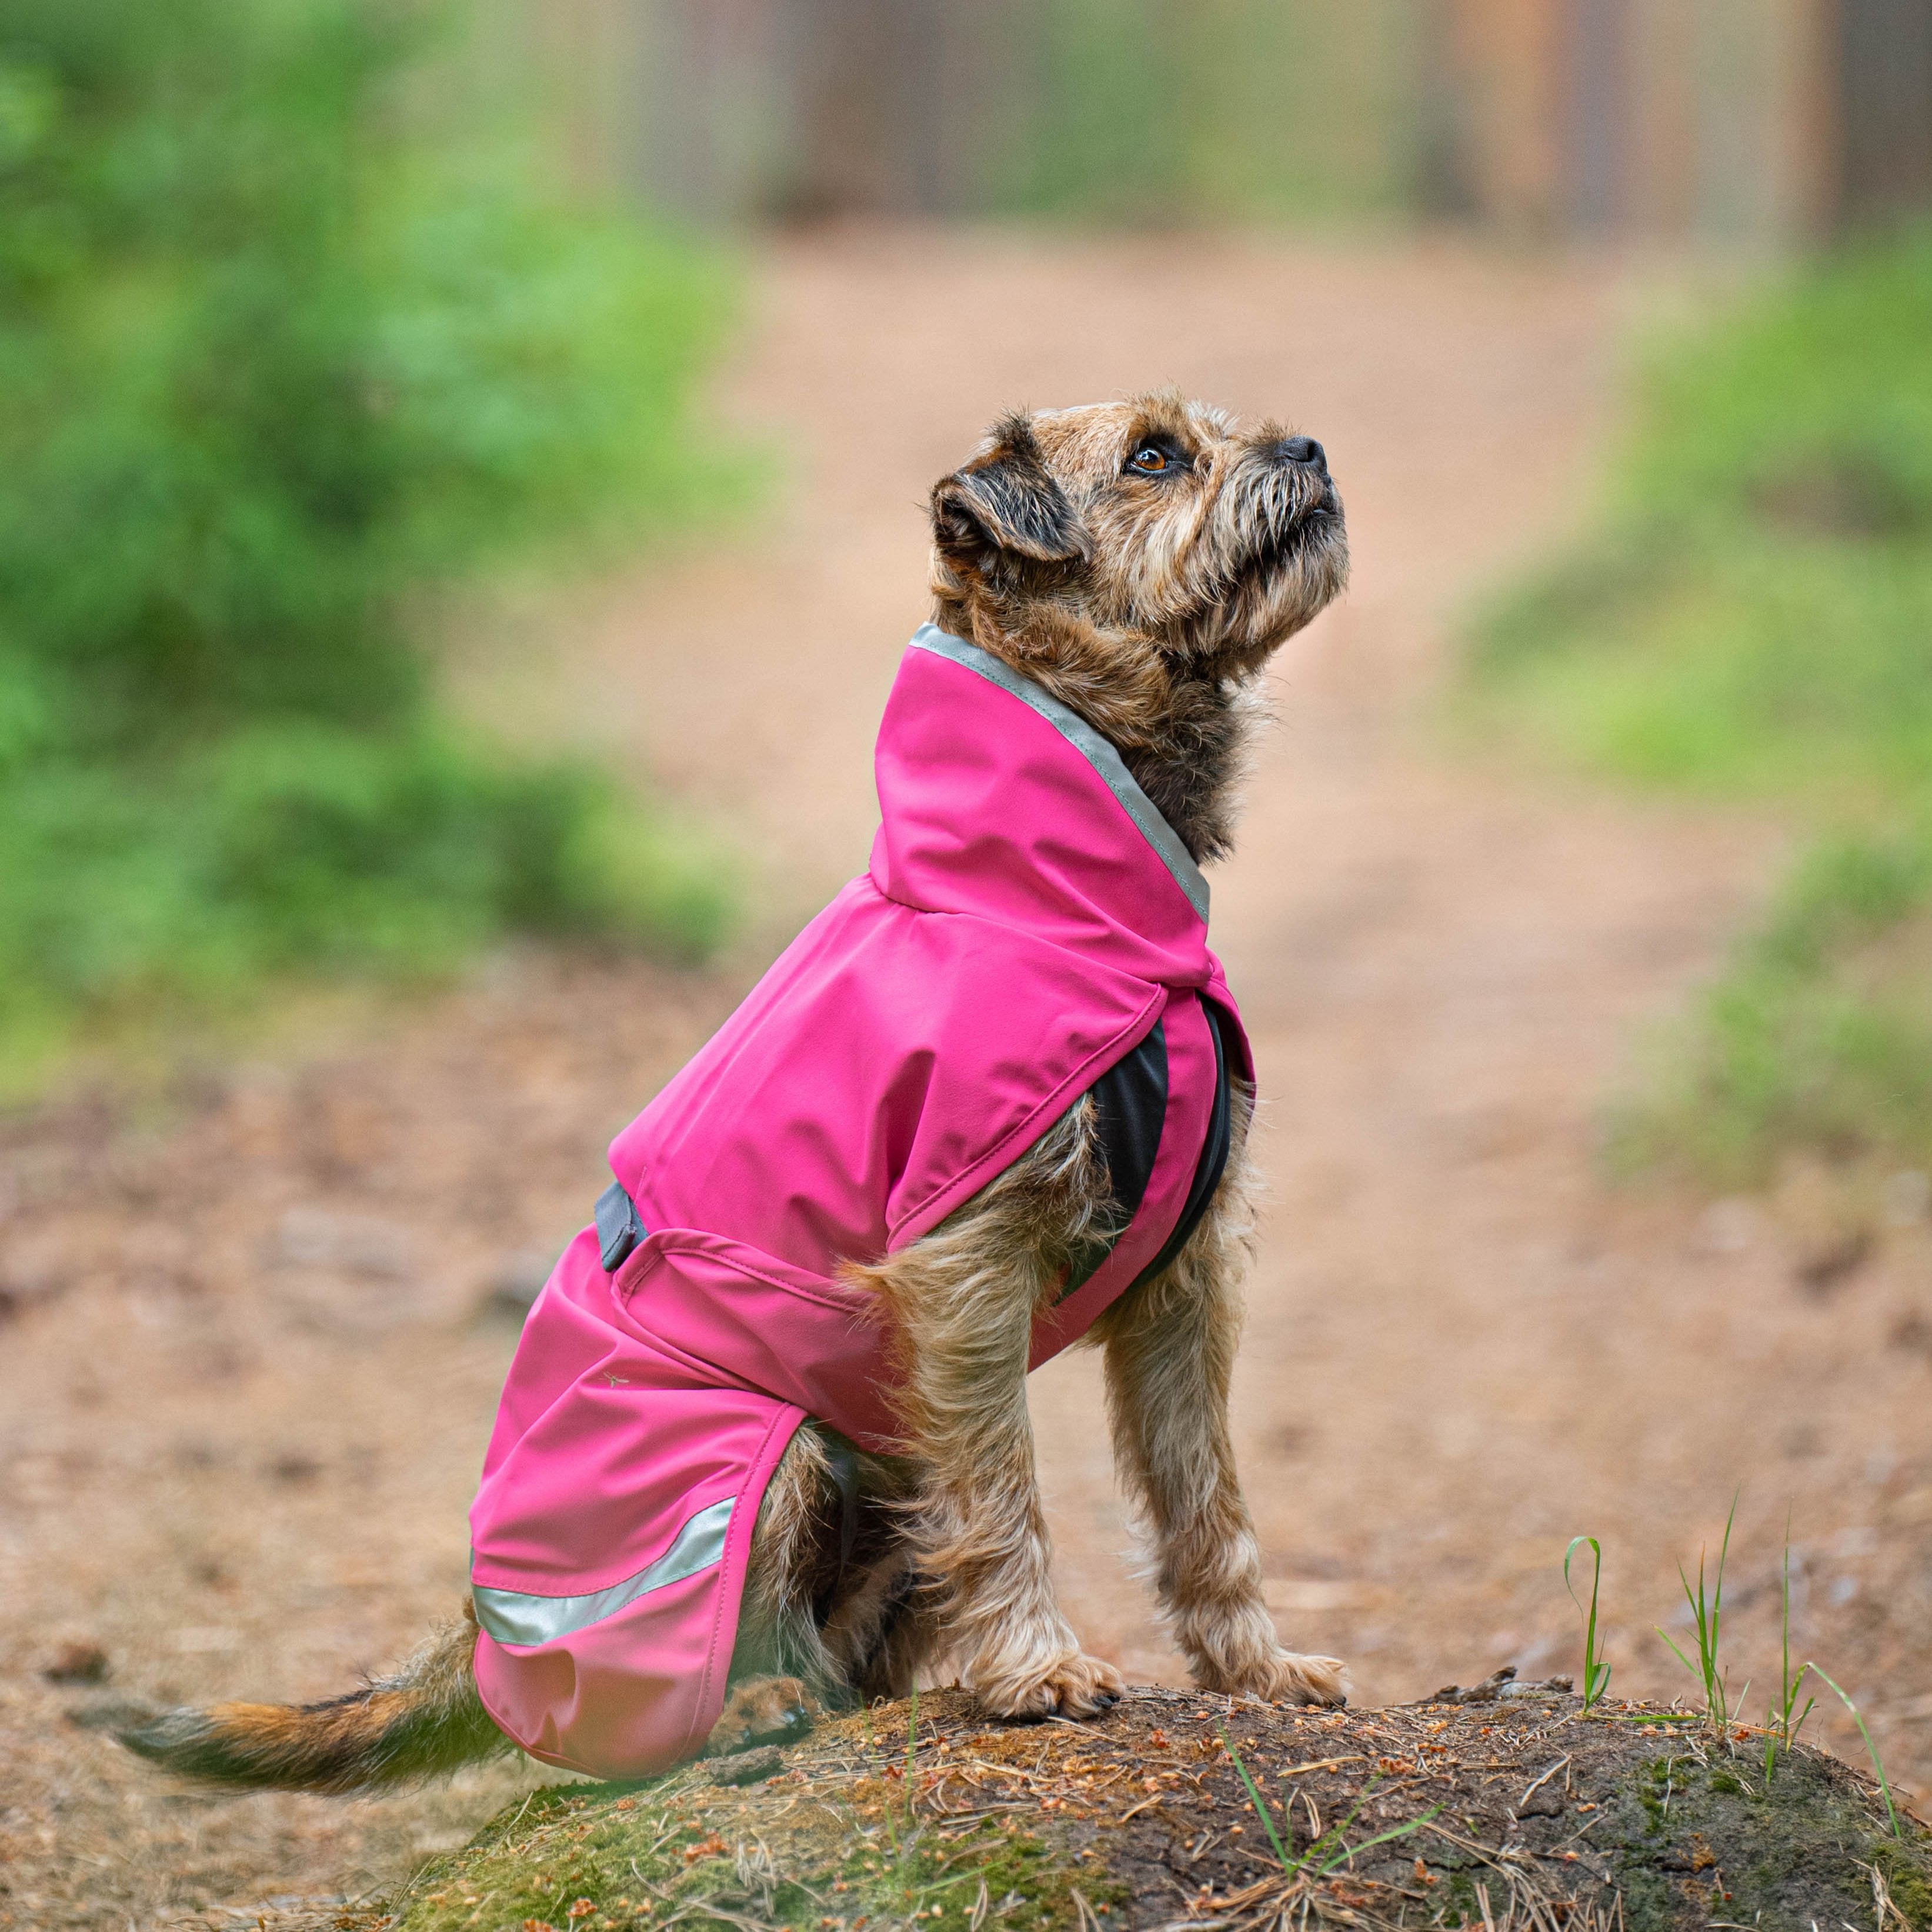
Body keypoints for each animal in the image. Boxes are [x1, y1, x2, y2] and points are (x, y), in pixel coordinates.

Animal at [102, 392, 1344, 1793]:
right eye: (1151, 456)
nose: (1307, 451)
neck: (1045, 901)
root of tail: (477, 1630)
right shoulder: (964, 1267)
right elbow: (1006, 1492)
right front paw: (1039, 1667)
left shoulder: (1185, 1279)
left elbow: (1207, 1498)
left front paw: (1255, 1669)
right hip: (767, 1445)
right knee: (686, 1685)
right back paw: (753, 1711)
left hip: (878, 1469)